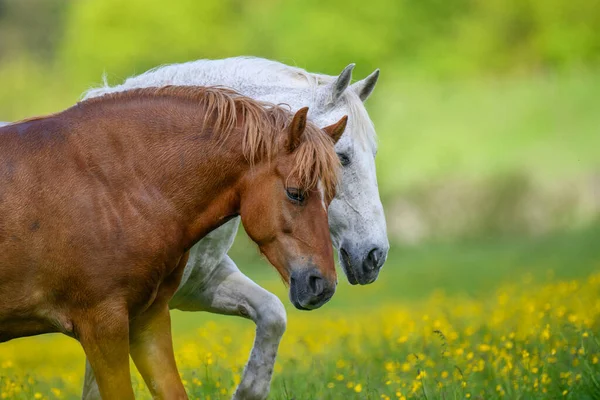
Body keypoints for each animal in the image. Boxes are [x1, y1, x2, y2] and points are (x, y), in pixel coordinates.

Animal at [2, 57, 386, 400]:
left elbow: (272, 314)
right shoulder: (105, 319)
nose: (375, 255)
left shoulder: (193, 289)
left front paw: (247, 391)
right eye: (343, 157)